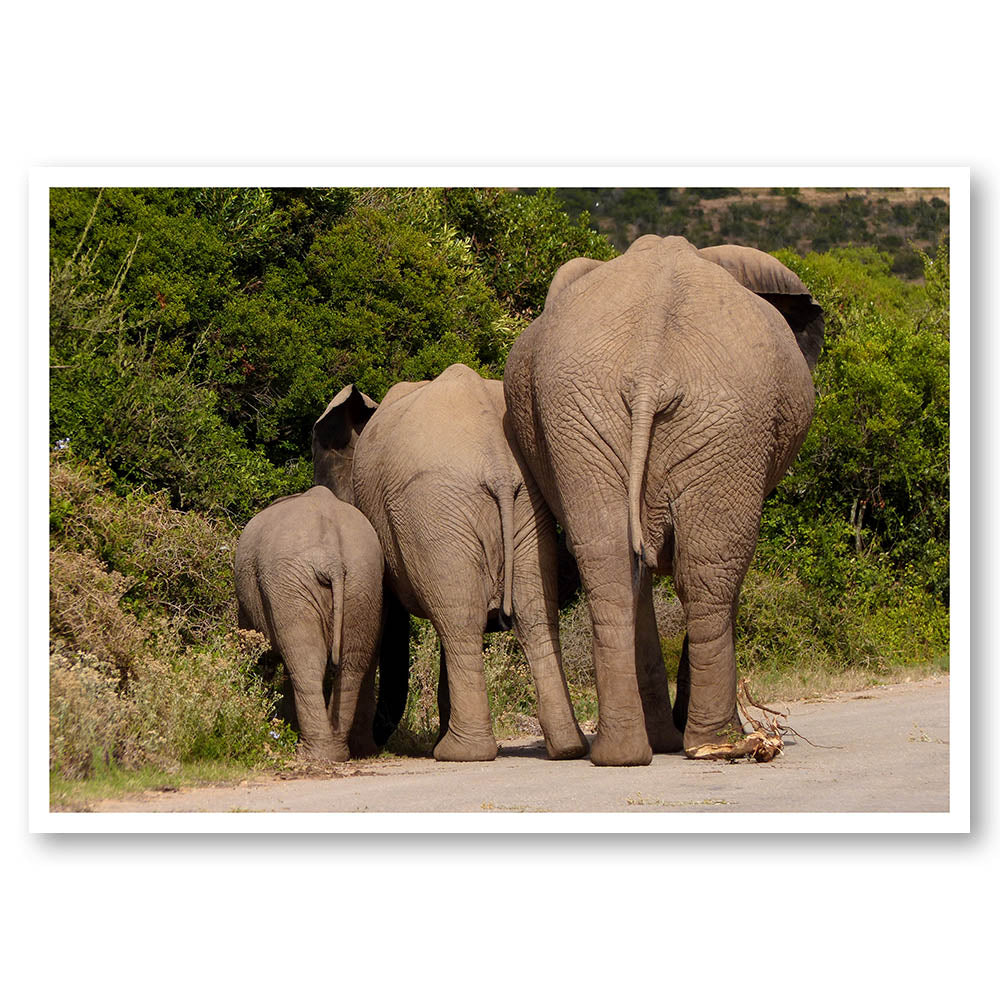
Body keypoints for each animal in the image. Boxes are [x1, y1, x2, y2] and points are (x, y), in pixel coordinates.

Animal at [235, 485, 386, 761]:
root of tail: (333, 559)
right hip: (363, 580)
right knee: (351, 662)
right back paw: (334, 754)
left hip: (290, 584)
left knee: (307, 662)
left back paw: (310, 754)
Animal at [313, 364, 589, 763]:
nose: (381, 741)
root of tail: (498, 462)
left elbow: (381, 618)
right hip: (523, 509)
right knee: (531, 616)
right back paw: (567, 748)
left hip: (432, 508)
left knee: (460, 623)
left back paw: (459, 752)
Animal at [503, 235, 823, 766]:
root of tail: (649, 362)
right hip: (729, 423)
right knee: (710, 570)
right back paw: (717, 741)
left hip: (584, 411)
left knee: (610, 561)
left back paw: (623, 754)